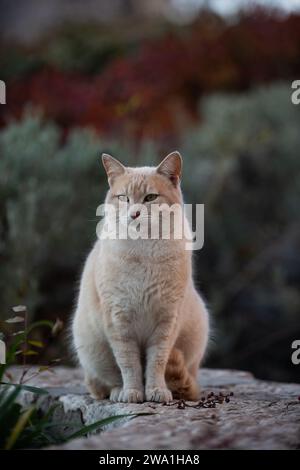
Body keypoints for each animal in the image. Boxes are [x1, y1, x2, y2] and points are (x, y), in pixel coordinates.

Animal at [72, 152, 209, 402]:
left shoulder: (166, 322)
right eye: (124, 198)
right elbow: (129, 364)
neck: (144, 249)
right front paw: (133, 392)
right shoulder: (119, 322)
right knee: (103, 384)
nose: (134, 213)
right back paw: (118, 392)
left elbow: (157, 362)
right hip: (93, 350)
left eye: (150, 198)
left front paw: (156, 391)